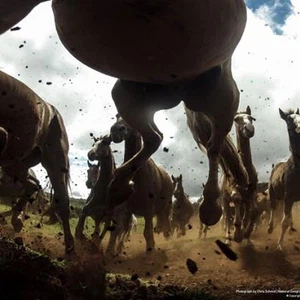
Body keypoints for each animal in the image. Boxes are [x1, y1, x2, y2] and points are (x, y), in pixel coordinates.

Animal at [0, 0, 246, 230]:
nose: (115, 131)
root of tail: (180, 90)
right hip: (126, 95)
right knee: (155, 138)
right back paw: (119, 184)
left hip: (224, 96)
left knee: (214, 145)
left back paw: (210, 206)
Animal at [0, 71, 74, 255]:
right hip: (16, 162)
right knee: (33, 184)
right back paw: (16, 220)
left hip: (55, 164)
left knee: (62, 200)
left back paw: (71, 247)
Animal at [109, 115, 172, 253]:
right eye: (117, 116)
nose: (117, 130)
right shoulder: (125, 210)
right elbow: (116, 232)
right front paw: (110, 252)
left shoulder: (148, 211)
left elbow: (147, 233)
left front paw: (151, 250)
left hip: (166, 206)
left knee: (166, 222)